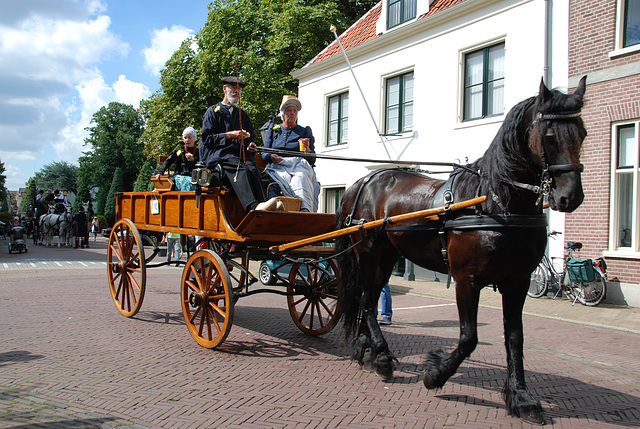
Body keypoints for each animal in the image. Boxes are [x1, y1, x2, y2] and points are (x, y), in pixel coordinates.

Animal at [338, 76, 588, 422]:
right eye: (549, 135)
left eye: (583, 132)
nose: (570, 197)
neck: (496, 203)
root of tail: (361, 182)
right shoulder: (467, 280)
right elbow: (469, 338)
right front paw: (434, 374)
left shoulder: (518, 281)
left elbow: (515, 338)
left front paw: (521, 398)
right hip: (368, 253)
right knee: (365, 300)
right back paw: (383, 358)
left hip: (388, 257)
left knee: (370, 299)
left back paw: (370, 354)